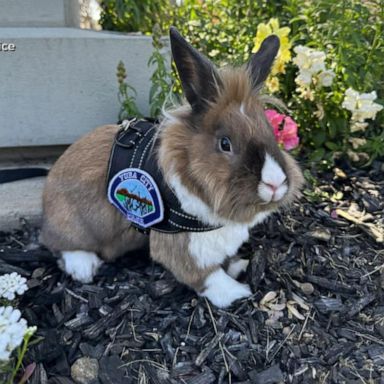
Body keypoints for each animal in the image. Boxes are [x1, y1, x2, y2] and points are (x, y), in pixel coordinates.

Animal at [39, 27, 304, 308]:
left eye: (271, 133)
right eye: (225, 143)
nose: (275, 183)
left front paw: (238, 265)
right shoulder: (186, 245)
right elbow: (204, 275)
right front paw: (235, 292)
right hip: (71, 225)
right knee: (58, 244)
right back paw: (84, 267)